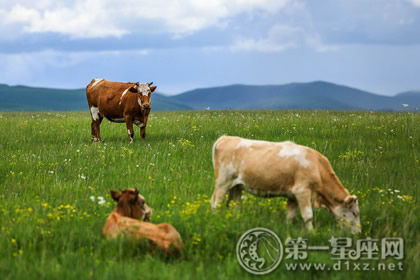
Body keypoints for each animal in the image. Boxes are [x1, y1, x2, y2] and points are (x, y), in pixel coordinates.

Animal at [212, 136, 362, 234]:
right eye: (354, 213)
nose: (359, 233)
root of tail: (225, 137)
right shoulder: (303, 191)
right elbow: (308, 215)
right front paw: (312, 233)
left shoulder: (292, 195)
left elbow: (290, 215)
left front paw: (288, 229)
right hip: (222, 182)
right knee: (215, 203)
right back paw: (216, 219)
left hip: (236, 186)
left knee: (234, 205)